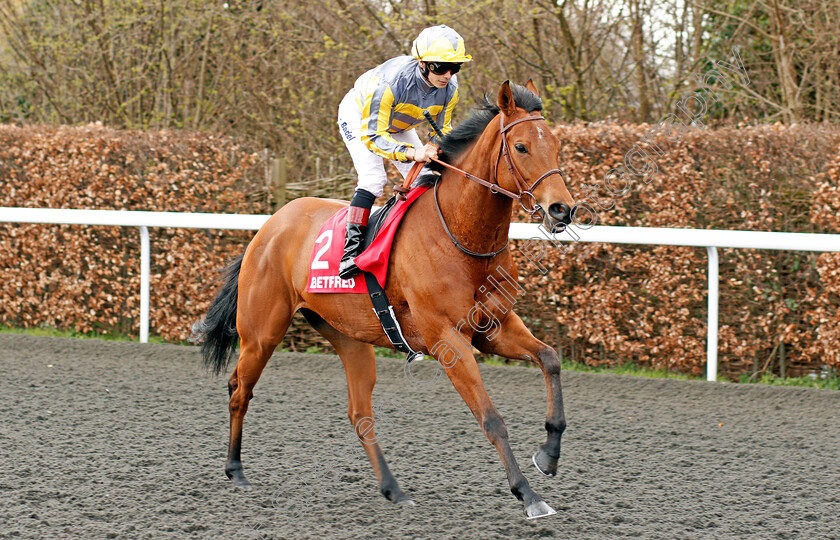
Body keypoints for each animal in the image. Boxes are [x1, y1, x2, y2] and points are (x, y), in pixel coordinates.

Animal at [194, 81, 576, 520]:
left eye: (557, 145)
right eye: (521, 147)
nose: (562, 209)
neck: (461, 236)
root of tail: (269, 226)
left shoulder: (493, 328)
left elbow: (550, 358)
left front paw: (548, 454)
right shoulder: (447, 339)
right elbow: (491, 418)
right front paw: (528, 494)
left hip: (349, 338)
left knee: (359, 413)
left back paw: (393, 488)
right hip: (261, 334)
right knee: (239, 390)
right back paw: (235, 470)